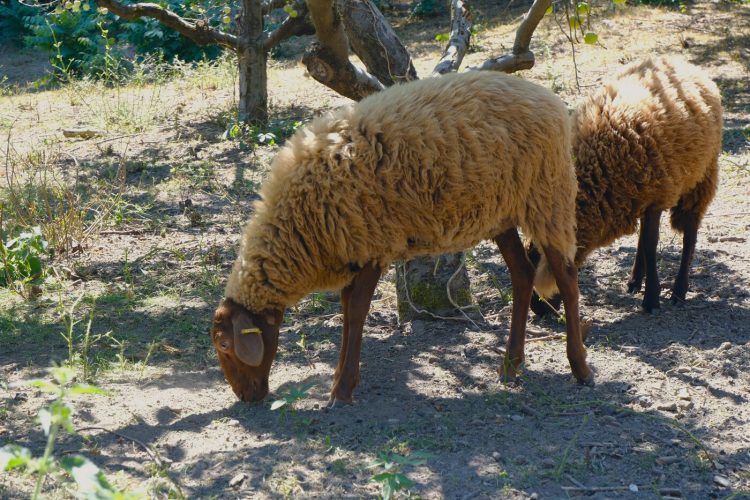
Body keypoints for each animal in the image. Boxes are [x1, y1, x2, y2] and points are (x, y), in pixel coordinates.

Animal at [211, 70, 593, 403]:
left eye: (226, 346)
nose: (246, 398)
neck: (297, 228)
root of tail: (549, 99)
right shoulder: (354, 248)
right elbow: (348, 309)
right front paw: (338, 382)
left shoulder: (371, 245)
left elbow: (356, 311)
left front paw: (342, 390)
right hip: (502, 211)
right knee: (522, 274)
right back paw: (510, 366)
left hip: (547, 195)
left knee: (567, 277)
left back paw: (580, 367)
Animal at [531, 55, 723, 316]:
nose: (537, 309)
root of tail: (682, 62)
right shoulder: (643, 195)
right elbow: (646, 241)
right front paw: (647, 290)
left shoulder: (656, 198)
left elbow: (652, 246)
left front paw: (652, 299)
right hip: (644, 192)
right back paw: (635, 280)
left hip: (701, 176)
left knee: (689, 233)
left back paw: (679, 291)